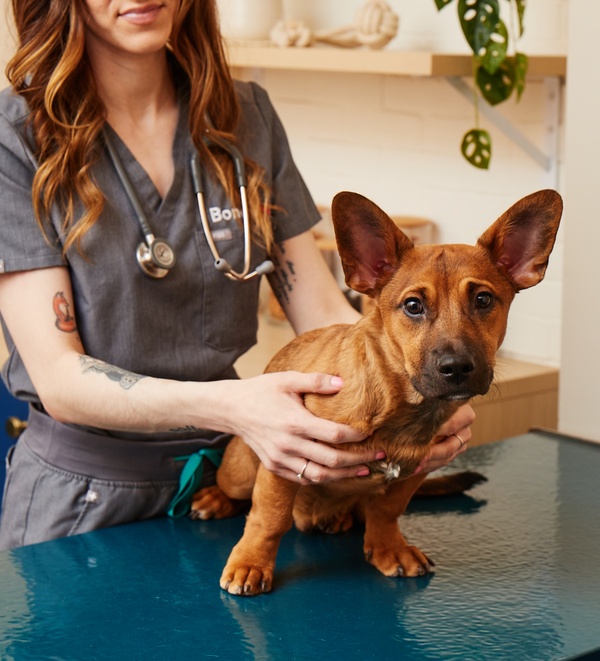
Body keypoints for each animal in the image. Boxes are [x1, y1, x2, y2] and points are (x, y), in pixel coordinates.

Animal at [192, 188, 564, 596]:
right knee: (240, 492)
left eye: (483, 300)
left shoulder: (414, 472)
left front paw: (388, 548)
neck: (401, 408)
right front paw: (251, 563)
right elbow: (269, 519)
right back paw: (217, 498)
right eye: (413, 306)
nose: (457, 369)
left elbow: (386, 513)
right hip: (242, 468)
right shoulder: (283, 459)